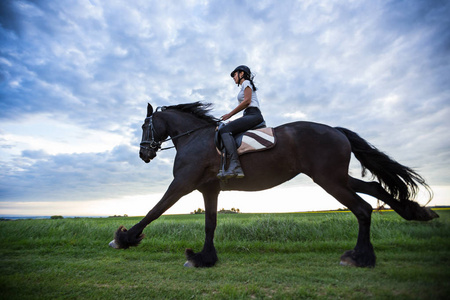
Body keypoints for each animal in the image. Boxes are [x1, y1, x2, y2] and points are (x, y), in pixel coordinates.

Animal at [110, 102, 438, 268]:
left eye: (144, 125)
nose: (143, 154)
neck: (194, 137)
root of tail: (335, 130)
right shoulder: (209, 189)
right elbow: (210, 223)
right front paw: (204, 258)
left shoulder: (182, 183)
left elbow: (155, 210)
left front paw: (124, 238)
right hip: (337, 176)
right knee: (376, 191)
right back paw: (415, 212)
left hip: (329, 179)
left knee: (363, 208)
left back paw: (359, 257)